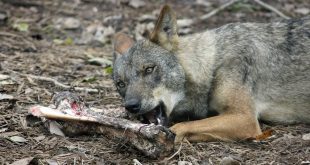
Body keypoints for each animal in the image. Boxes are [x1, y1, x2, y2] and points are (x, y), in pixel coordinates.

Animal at [112, 5, 310, 142]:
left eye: (149, 69)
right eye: (120, 84)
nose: (131, 106)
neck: (213, 64)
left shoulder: (245, 119)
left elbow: (182, 127)